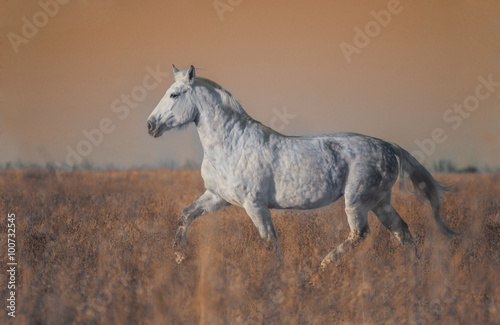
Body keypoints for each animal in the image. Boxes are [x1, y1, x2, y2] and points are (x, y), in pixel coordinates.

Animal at [145, 64, 458, 268]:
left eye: (174, 95)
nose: (150, 125)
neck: (230, 145)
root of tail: (389, 147)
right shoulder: (217, 197)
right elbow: (185, 216)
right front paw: (178, 256)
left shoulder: (254, 205)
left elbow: (270, 242)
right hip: (380, 202)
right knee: (402, 232)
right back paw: (415, 272)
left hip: (357, 201)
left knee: (360, 234)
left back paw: (322, 268)